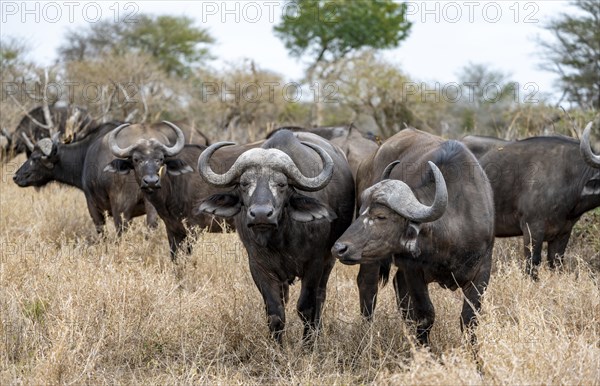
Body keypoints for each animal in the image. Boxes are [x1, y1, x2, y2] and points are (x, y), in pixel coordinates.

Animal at [197, 130, 356, 344]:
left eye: (281, 184)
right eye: (244, 183)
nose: (261, 214)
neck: (280, 239)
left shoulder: (314, 264)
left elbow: (307, 307)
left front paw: (308, 345)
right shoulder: (259, 266)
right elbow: (275, 313)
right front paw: (277, 347)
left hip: (328, 261)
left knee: (320, 297)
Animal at [330, 129, 494, 344]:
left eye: (381, 216)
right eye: (362, 210)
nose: (339, 248)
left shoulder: (482, 270)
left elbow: (469, 320)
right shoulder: (414, 269)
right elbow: (426, 314)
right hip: (373, 261)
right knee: (368, 285)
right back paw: (367, 333)